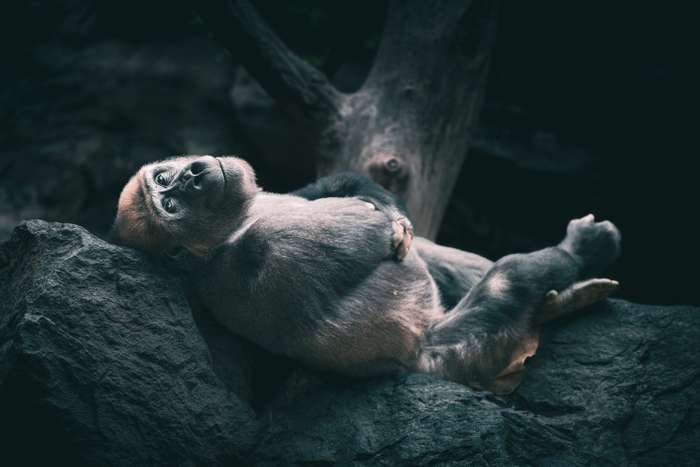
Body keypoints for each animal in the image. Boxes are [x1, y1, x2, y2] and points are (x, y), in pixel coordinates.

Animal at [114, 155, 621, 393]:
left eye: (165, 178)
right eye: (170, 202)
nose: (193, 174)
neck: (225, 237)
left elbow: (342, 187)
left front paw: (386, 205)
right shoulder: (274, 241)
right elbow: (370, 232)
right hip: (444, 360)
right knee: (508, 282)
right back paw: (575, 262)